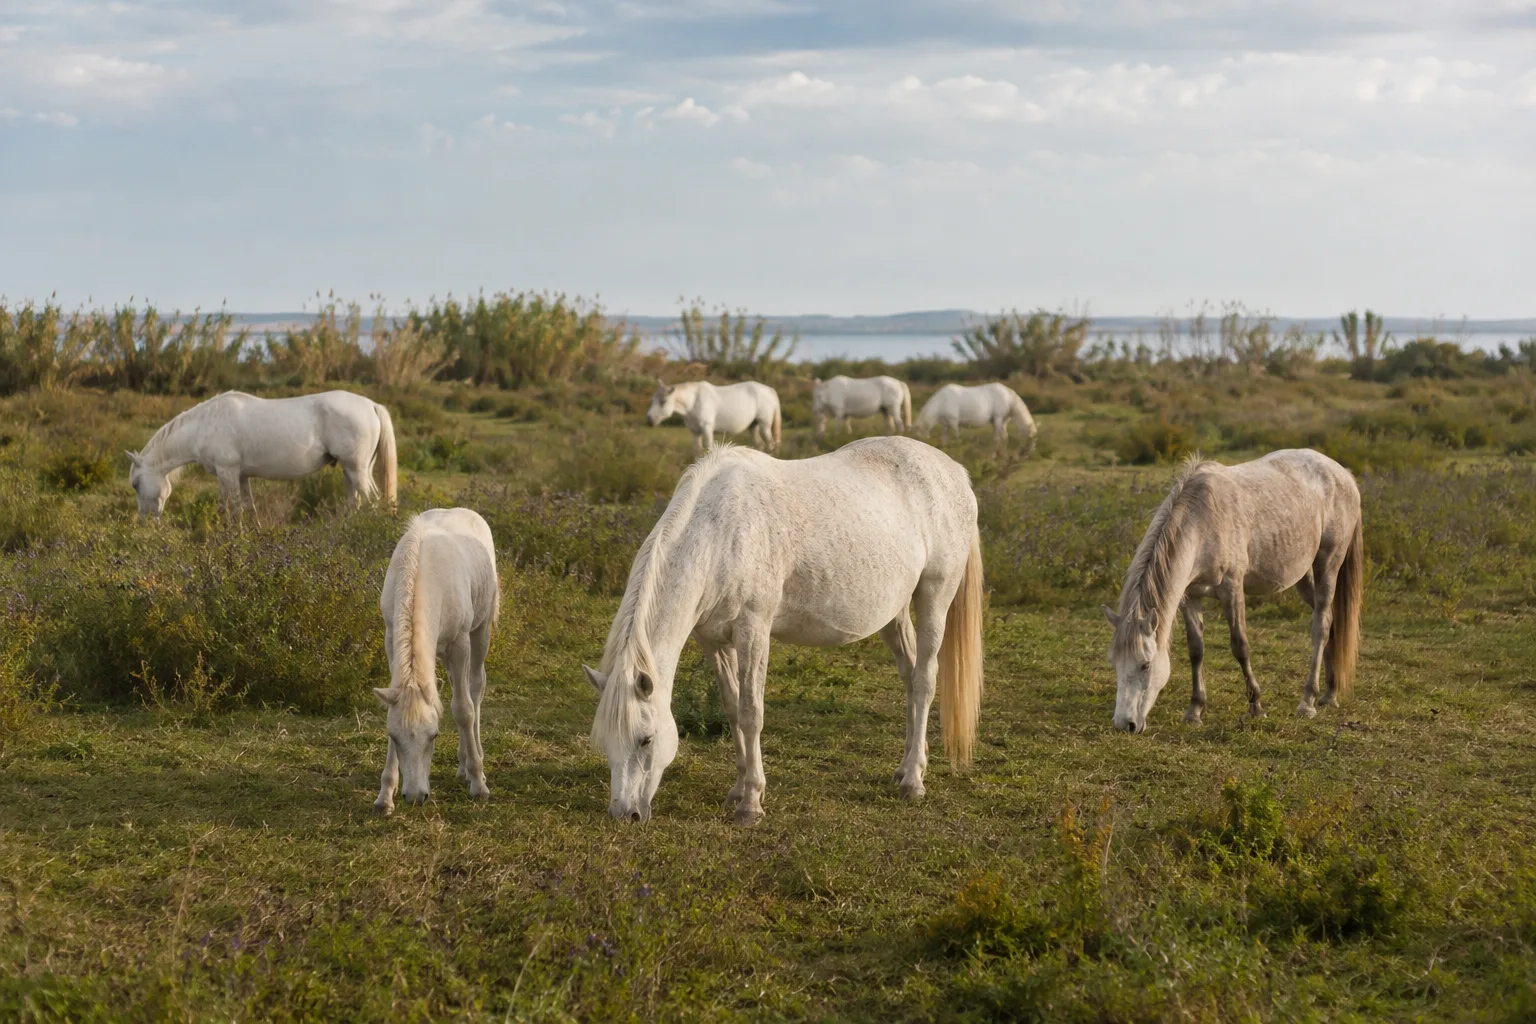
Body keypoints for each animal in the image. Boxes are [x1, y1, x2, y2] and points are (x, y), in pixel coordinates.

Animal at [126, 390, 397, 519]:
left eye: (136, 484)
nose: (144, 520)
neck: (203, 425)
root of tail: (372, 405)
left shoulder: (227, 473)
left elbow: (230, 509)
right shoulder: (242, 476)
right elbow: (249, 508)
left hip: (356, 470)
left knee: (372, 501)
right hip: (350, 471)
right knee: (355, 503)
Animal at [373, 508, 501, 812]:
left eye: (434, 736)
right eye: (395, 737)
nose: (415, 796)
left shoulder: (460, 643)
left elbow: (464, 710)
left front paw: (479, 784)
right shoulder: (391, 638)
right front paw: (385, 796)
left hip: (481, 631)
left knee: (475, 689)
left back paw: (473, 764)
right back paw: (462, 765)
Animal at [583, 437, 984, 825]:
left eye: (646, 740)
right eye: (605, 743)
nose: (625, 814)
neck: (720, 533)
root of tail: (955, 472)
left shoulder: (753, 632)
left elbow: (752, 713)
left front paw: (751, 804)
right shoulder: (713, 640)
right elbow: (732, 708)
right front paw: (738, 789)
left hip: (934, 596)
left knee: (925, 680)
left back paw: (914, 781)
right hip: (894, 613)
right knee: (910, 676)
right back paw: (905, 767)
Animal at [645, 380, 782, 453]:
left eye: (663, 401)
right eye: (652, 400)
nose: (649, 421)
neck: (694, 401)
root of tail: (769, 390)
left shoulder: (707, 428)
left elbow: (708, 448)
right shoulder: (695, 432)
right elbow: (697, 451)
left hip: (764, 425)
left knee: (770, 445)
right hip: (753, 426)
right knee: (760, 445)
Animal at [1101, 450, 1363, 733]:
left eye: (1145, 664)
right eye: (1114, 663)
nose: (1124, 724)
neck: (1202, 522)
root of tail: (1343, 474)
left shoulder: (1232, 590)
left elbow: (1240, 646)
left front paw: (1256, 706)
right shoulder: (1190, 596)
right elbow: (1196, 650)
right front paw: (1195, 710)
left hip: (1328, 563)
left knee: (1321, 626)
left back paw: (1308, 701)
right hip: (1303, 576)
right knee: (1330, 621)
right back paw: (1329, 693)